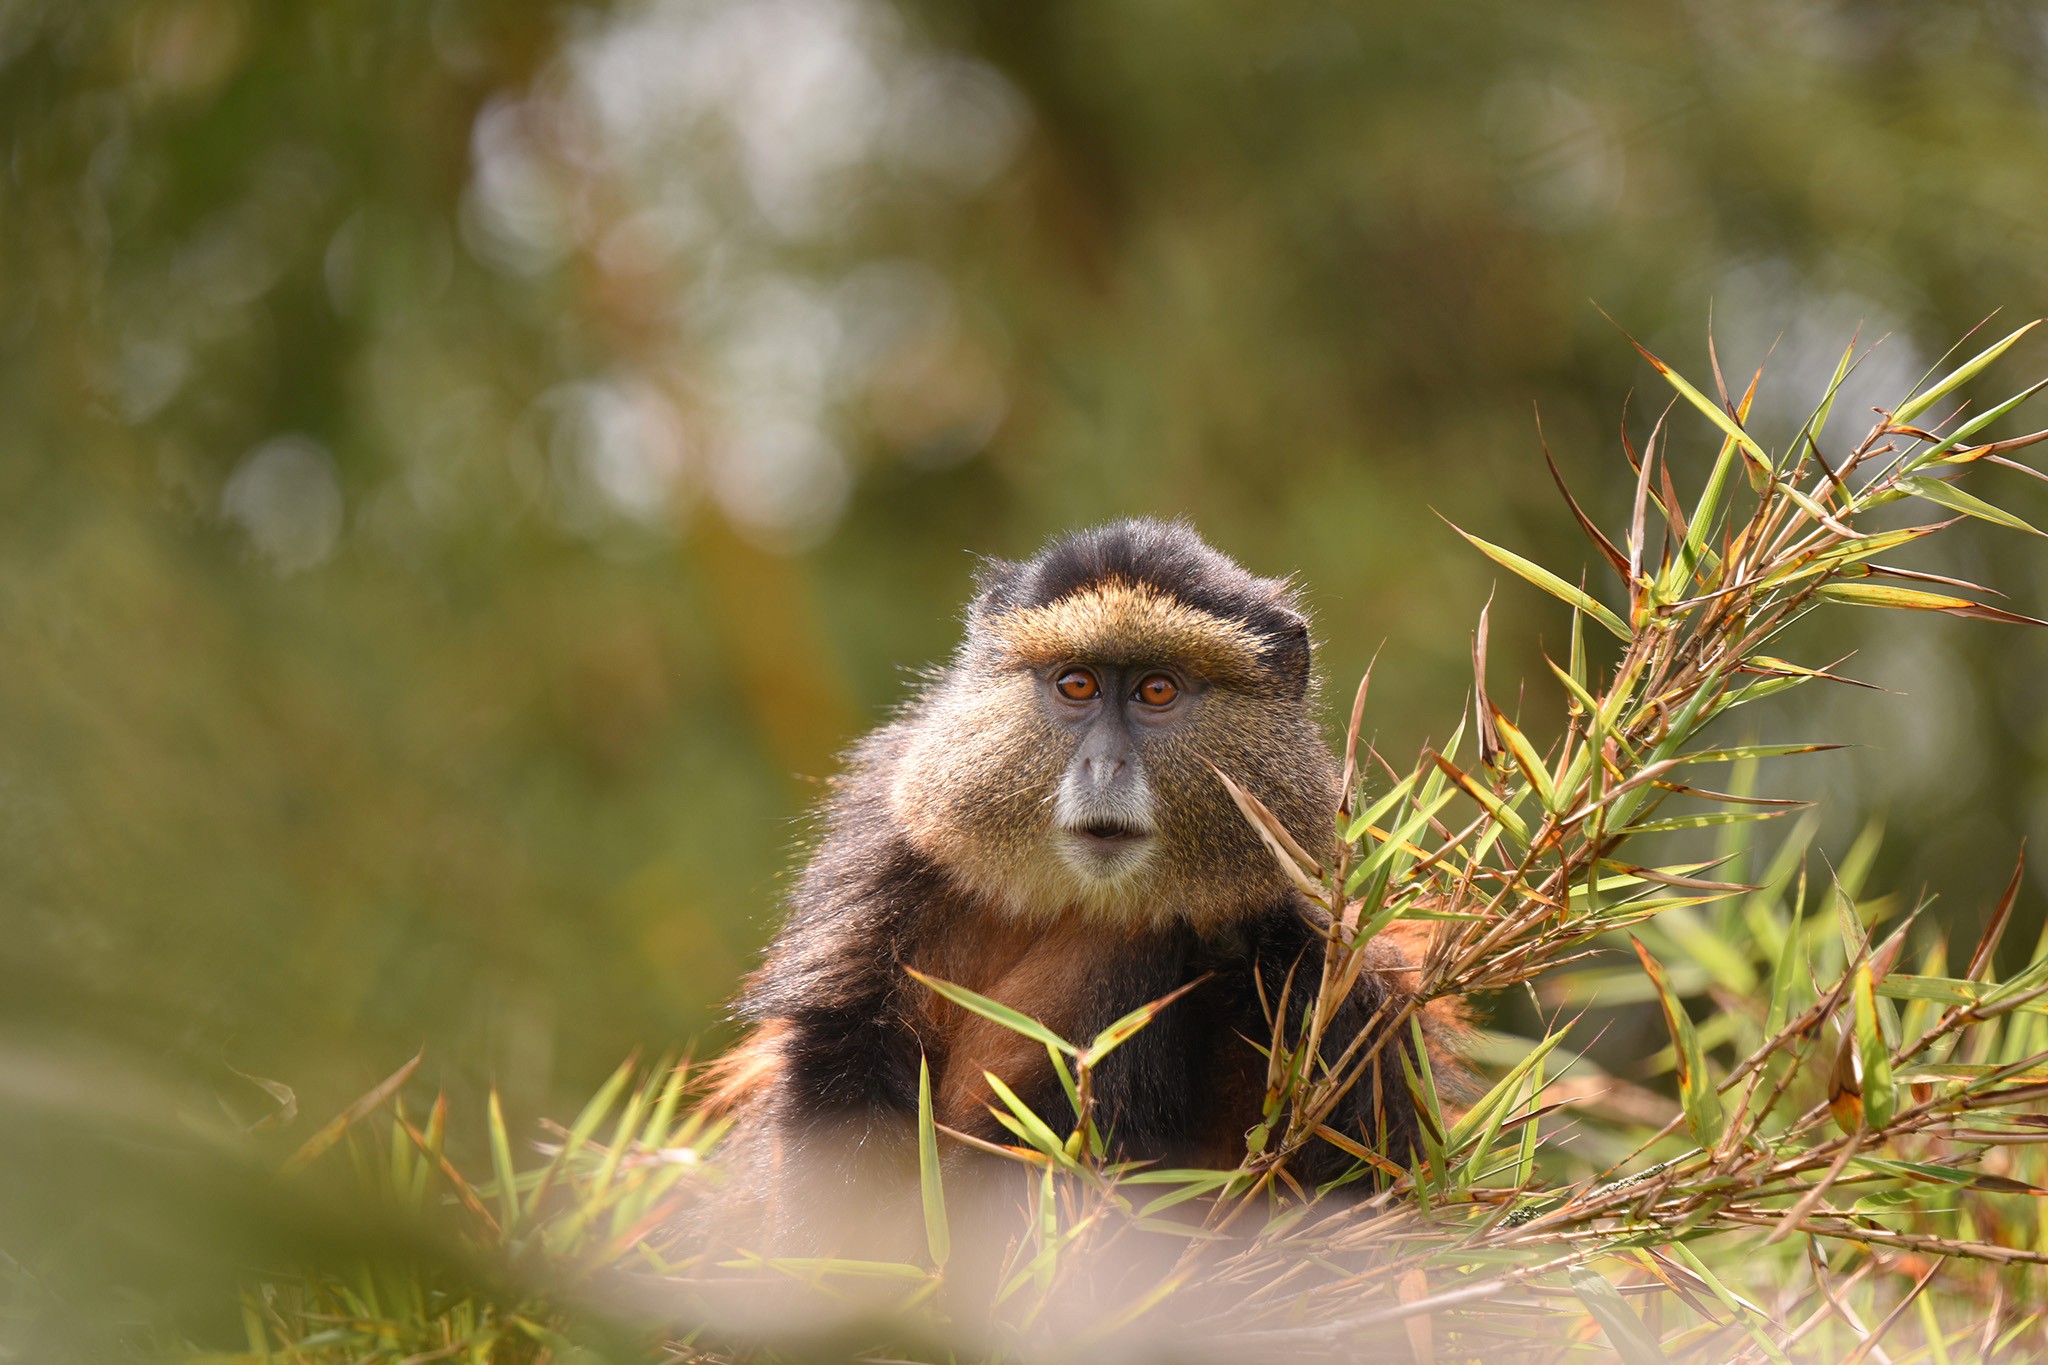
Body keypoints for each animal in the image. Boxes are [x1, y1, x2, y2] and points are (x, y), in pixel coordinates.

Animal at [696, 518, 1460, 1261]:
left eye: (1157, 690)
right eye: (1077, 686)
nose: (1104, 764)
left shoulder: (1312, 937)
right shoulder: (885, 840)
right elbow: (841, 1051)